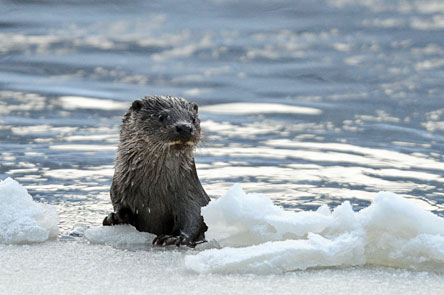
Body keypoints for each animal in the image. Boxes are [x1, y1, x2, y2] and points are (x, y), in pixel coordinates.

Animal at [102, 95, 210, 247]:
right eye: (161, 117)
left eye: (193, 118)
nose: (184, 127)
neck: (152, 191)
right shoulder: (118, 189)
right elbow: (118, 203)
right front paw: (115, 217)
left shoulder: (191, 196)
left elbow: (194, 219)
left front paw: (175, 238)